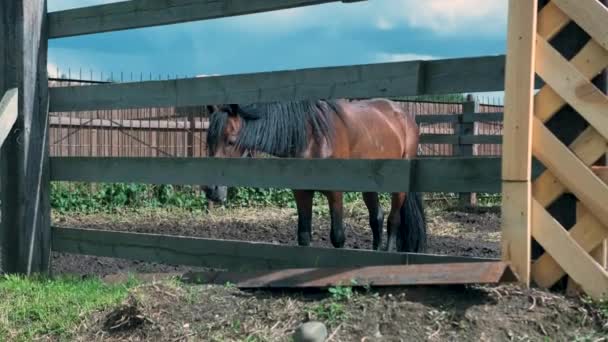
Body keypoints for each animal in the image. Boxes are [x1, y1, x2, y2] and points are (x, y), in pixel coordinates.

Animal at [202, 97, 426, 252]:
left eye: (231, 140)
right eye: (208, 140)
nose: (211, 189)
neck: (312, 137)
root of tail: (404, 115)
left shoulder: (335, 193)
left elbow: (337, 236)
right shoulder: (301, 193)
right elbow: (303, 236)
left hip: (398, 185)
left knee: (393, 220)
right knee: (376, 217)